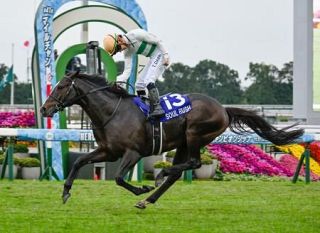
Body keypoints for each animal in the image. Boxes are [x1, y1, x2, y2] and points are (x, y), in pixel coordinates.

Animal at [40, 72, 304, 208]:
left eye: (62, 86)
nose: (44, 109)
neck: (111, 112)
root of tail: (224, 109)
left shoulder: (133, 152)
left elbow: (118, 178)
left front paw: (141, 187)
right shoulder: (108, 151)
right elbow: (78, 162)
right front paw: (65, 193)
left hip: (195, 135)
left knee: (194, 163)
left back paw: (157, 179)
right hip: (183, 143)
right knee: (178, 172)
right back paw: (149, 198)